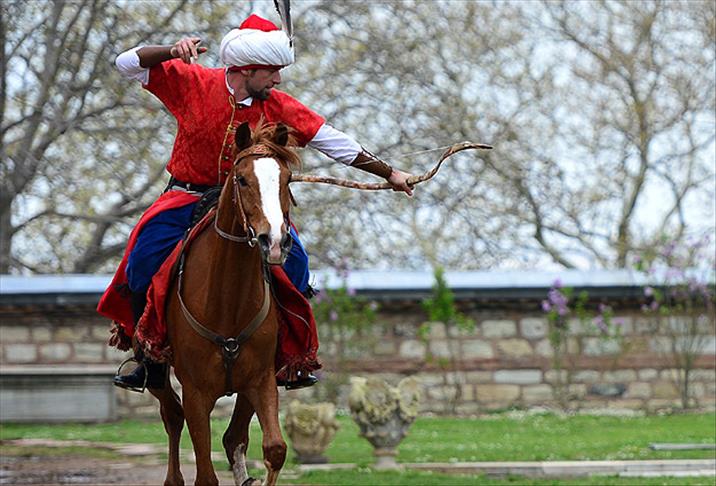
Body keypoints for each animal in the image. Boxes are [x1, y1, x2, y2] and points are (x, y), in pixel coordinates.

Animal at [149, 121, 299, 486]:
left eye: (287, 179)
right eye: (242, 179)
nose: (275, 241)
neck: (228, 302)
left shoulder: (261, 380)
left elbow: (275, 449)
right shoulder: (196, 392)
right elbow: (205, 473)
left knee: (233, 438)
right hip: (158, 373)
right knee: (172, 417)